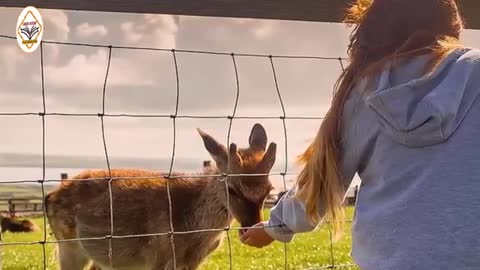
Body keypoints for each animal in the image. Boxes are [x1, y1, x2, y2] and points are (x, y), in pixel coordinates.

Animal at [46, 123, 278, 268]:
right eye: (232, 188)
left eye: (269, 189)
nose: (251, 227)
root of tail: (49, 196)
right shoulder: (160, 254)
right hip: (68, 247)